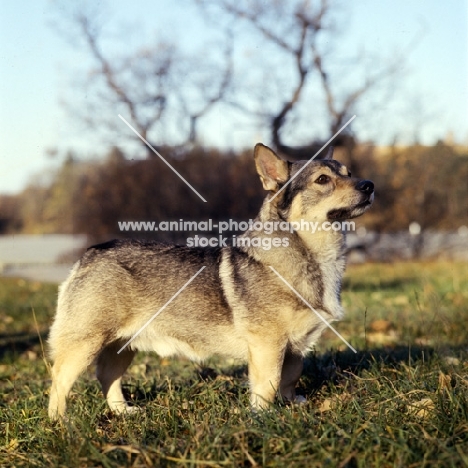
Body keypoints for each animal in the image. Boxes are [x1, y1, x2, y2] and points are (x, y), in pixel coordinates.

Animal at [48, 144, 372, 420]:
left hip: (122, 346)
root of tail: (91, 253)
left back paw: (122, 411)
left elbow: (289, 379)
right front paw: (264, 416)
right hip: (85, 344)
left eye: (349, 173)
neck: (313, 251)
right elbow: (268, 384)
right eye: (322, 180)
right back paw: (61, 423)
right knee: (59, 381)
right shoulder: (268, 345)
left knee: (107, 377)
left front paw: (290, 405)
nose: (369, 185)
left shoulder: (293, 348)